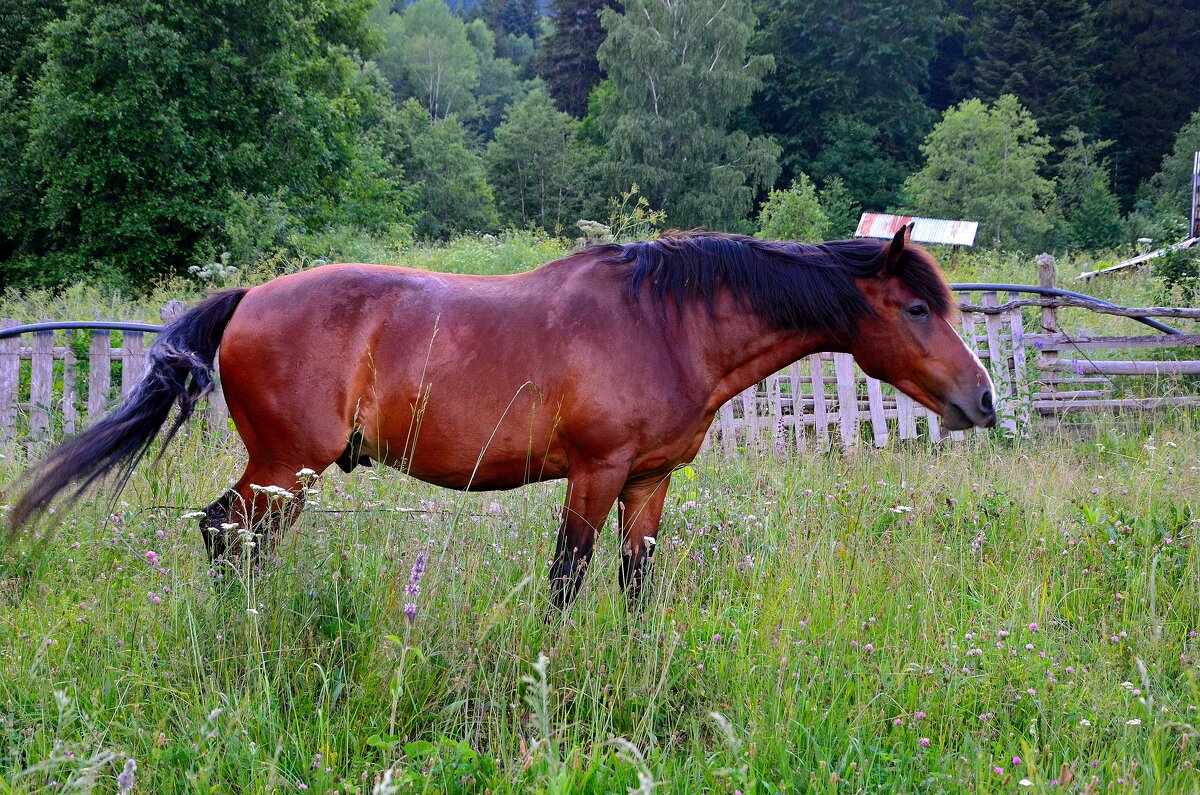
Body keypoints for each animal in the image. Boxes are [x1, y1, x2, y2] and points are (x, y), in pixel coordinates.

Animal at [11, 229, 993, 610]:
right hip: (286, 465)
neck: (665, 324)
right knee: (223, 533)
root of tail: (250, 297)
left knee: (238, 540)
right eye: (916, 308)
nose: (982, 399)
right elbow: (567, 579)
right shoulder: (595, 474)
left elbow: (636, 586)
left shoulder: (648, 482)